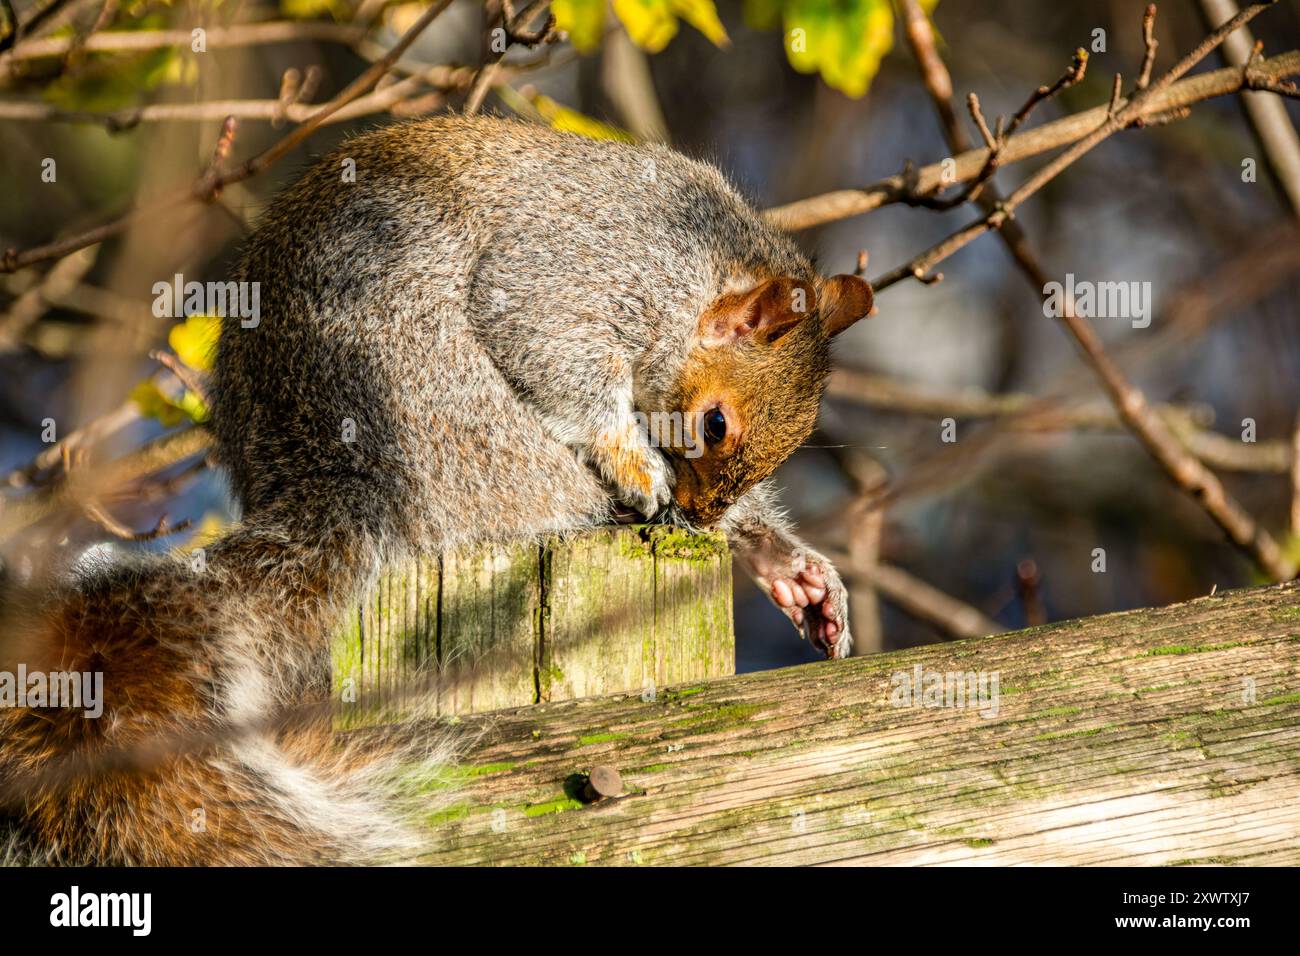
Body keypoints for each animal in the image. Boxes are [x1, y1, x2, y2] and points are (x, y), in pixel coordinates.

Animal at [2, 115, 873, 863]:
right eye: (717, 424)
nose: (697, 514)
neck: (700, 268)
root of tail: (343, 481)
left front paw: (791, 568)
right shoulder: (578, 274)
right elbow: (550, 346)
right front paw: (637, 463)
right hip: (479, 436)